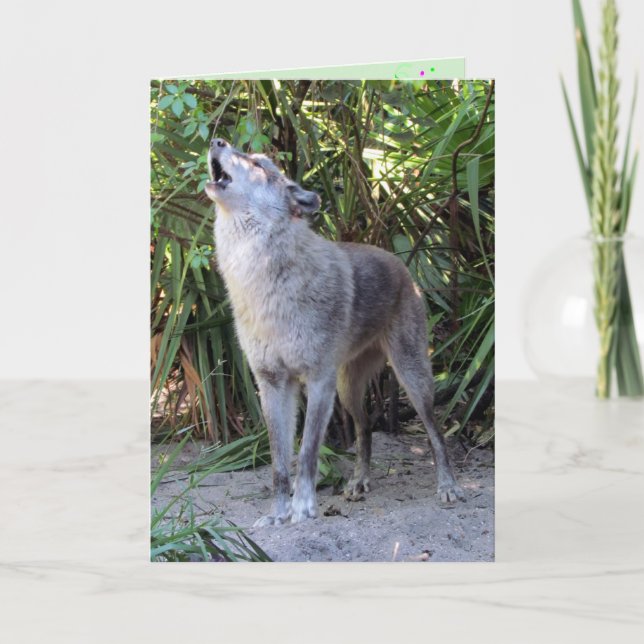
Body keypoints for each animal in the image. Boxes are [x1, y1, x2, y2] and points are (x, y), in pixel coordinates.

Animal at [205, 138, 464, 526]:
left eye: (258, 164)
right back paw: (358, 483)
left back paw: (447, 486)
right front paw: (277, 515)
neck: (263, 282)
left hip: (411, 380)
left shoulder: (317, 381)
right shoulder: (272, 383)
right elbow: (279, 464)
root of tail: (399, 262)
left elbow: (307, 454)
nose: (216, 140)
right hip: (348, 389)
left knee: (435, 431)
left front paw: (302, 509)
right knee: (364, 428)